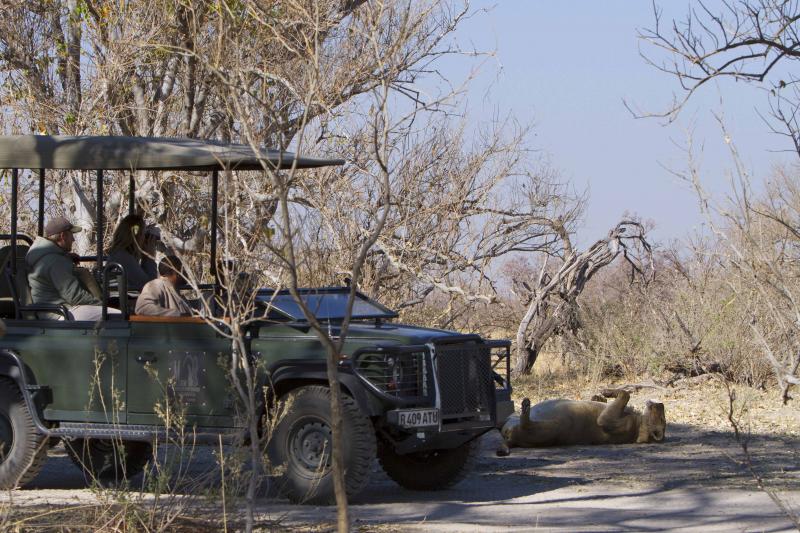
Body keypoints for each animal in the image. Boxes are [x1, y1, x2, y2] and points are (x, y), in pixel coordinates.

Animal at [497, 388, 666, 456]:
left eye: (662, 419)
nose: (661, 404)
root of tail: (510, 439)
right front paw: (601, 395)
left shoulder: (612, 422)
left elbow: (625, 394)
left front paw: (610, 391)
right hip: (511, 418)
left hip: (553, 427)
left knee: (526, 424)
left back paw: (526, 406)